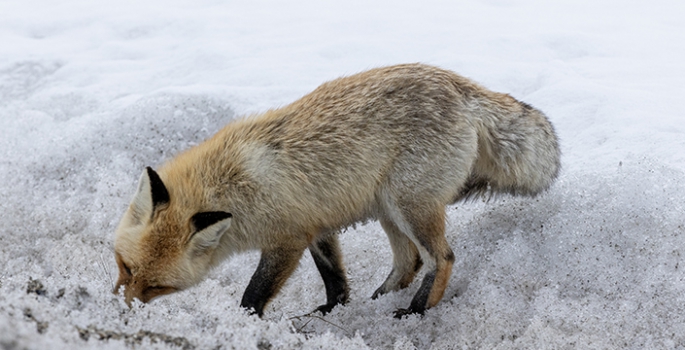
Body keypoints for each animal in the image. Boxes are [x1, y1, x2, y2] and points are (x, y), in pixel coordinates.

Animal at [113, 63, 560, 318]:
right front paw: (334, 309)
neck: (231, 184)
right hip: (388, 208)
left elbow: (254, 293)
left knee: (441, 258)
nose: (122, 310)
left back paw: (415, 311)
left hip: (408, 205)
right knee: (410, 261)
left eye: (158, 287)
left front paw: (246, 323)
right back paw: (379, 301)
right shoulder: (316, 223)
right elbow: (335, 278)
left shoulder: (287, 240)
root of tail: (458, 84)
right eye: (126, 268)